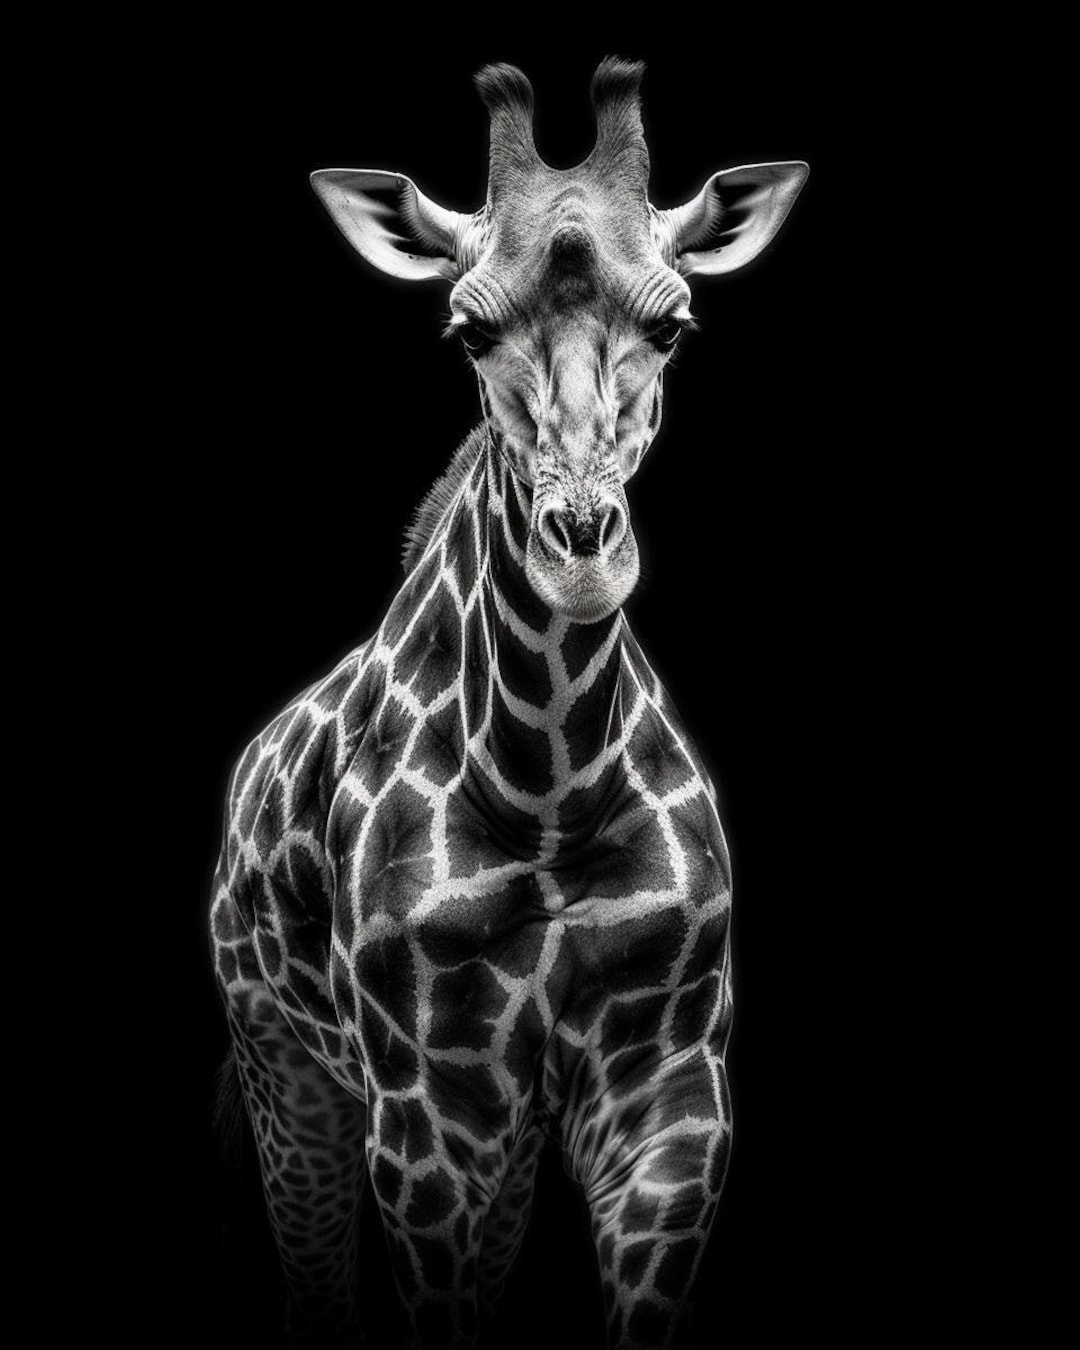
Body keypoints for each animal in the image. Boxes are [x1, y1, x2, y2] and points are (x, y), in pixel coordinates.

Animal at [210, 58, 807, 1350]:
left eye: (675, 322)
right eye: (467, 328)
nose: (582, 548)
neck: (549, 790)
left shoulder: (670, 1089)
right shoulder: (424, 1112)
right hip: (286, 1066)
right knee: (313, 1277)